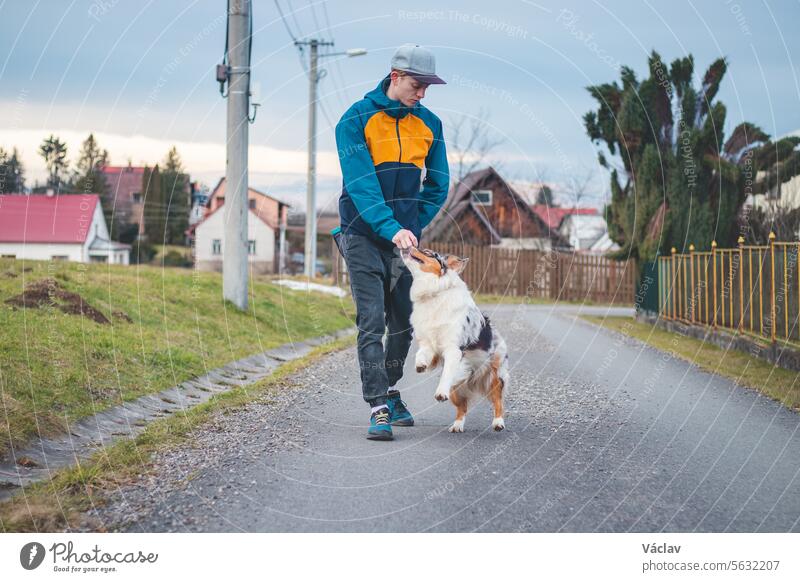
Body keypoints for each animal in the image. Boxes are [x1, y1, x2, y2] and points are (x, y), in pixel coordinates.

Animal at [398, 246, 510, 434]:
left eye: (428, 252)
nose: (408, 246)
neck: (434, 293)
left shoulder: (453, 349)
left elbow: (446, 374)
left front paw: (440, 392)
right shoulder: (429, 343)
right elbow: (420, 353)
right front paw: (421, 364)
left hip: (494, 374)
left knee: (497, 400)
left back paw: (498, 423)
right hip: (457, 391)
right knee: (462, 407)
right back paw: (457, 425)